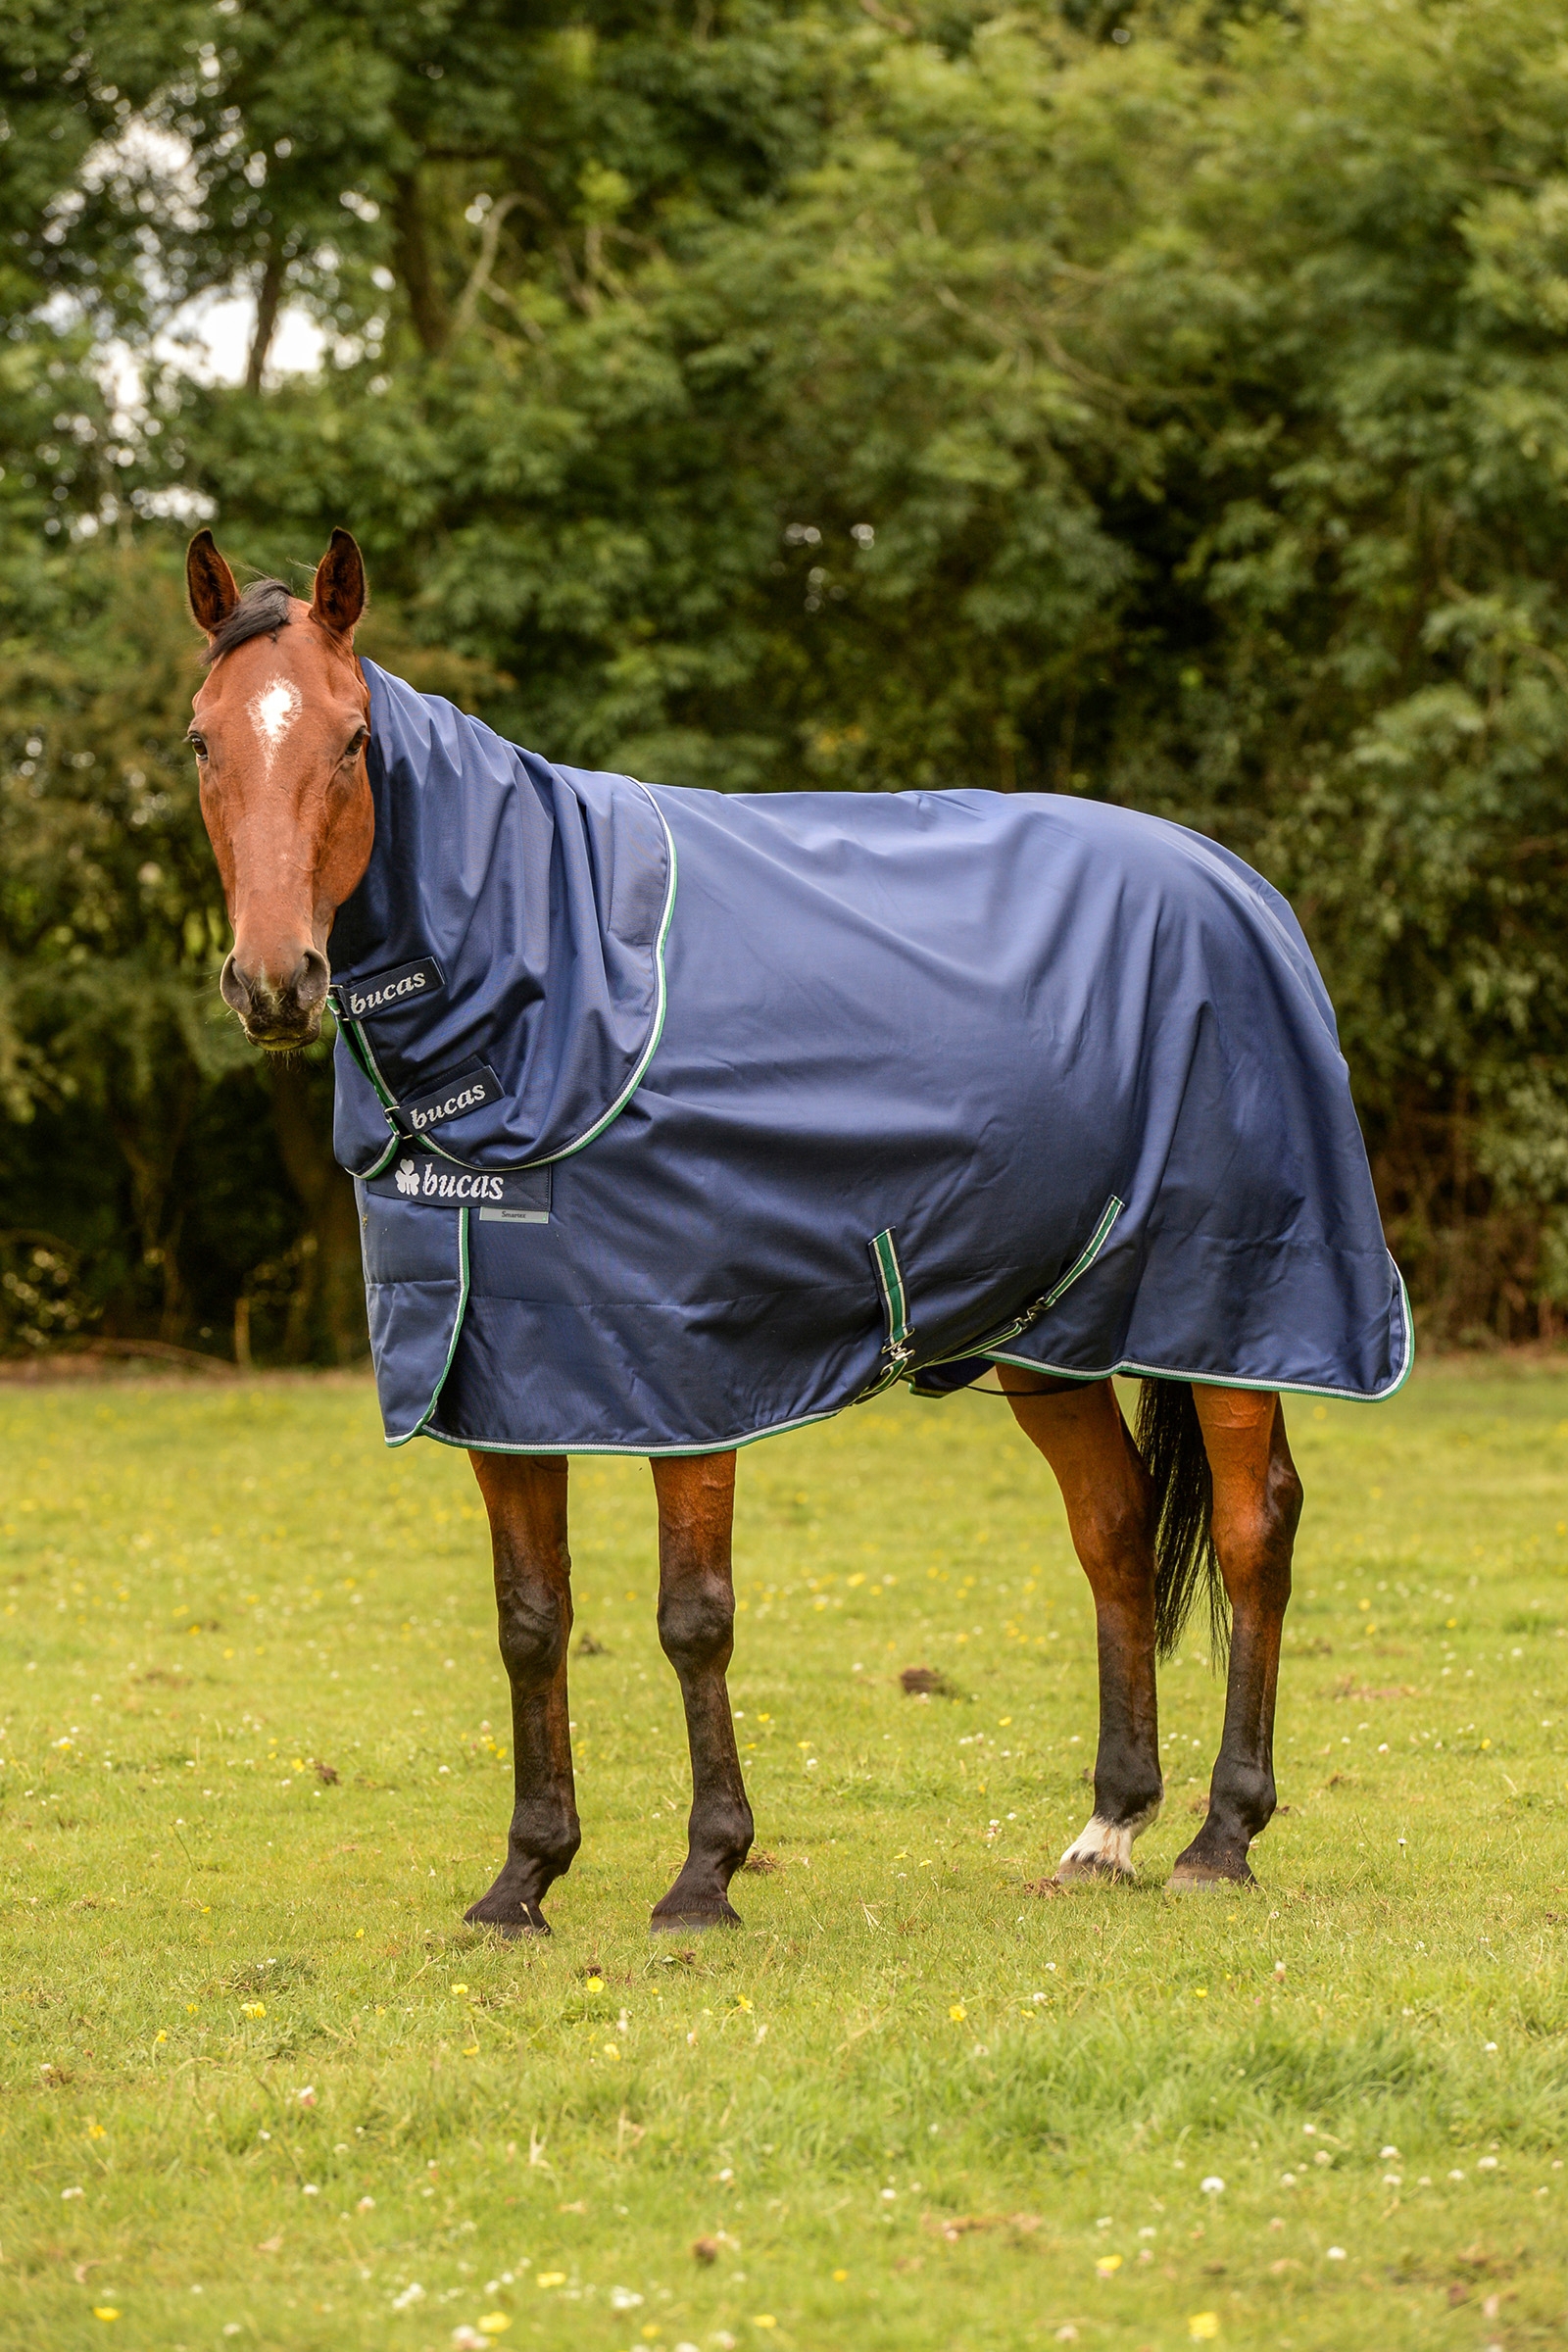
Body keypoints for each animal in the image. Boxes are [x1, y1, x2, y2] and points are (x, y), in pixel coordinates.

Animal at [185, 525, 1409, 1931]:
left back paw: (1223, 1832)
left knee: (1258, 1528)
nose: (275, 982)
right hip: (1053, 1332)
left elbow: (693, 1617)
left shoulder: (688, 1371)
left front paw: (705, 1873)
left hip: (1236, 1305)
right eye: (202, 741)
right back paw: (1110, 1826)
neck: (553, 984)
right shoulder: (500, 1372)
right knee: (1110, 1530)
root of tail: (1243, 889)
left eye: (347, 741)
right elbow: (530, 1620)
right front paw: (524, 1878)